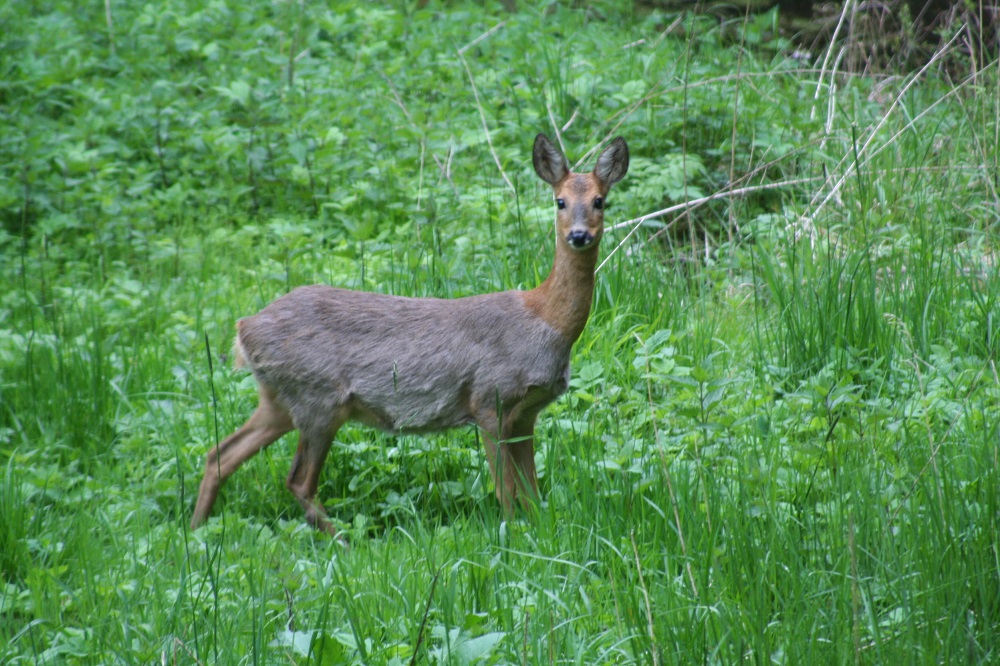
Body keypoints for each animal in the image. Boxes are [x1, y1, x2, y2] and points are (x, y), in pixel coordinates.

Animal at [191, 134, 628, 536]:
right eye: (559, 201)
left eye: (599, 201)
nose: (578, 235)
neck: (544, 320)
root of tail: (244, 328)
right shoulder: (490, 401)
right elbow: (507, 493)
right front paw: (513, 538)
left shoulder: (527, 414)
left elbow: (533, 495)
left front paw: (539, 533)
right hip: (319, 399)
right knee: (297, 480)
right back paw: (345, 540)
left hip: (280, 399)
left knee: (219, 455)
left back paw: (196, 529)